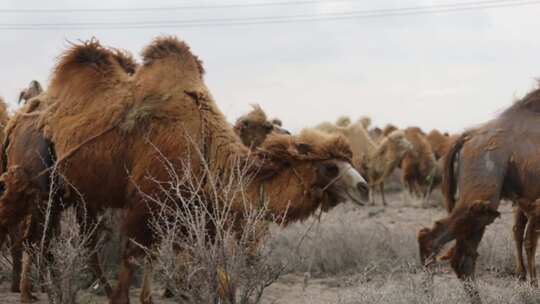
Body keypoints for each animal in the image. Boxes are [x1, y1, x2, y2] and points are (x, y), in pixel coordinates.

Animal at [0, 36, 370, 302]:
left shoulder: (190, 211)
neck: (205, 147)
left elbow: (186, 263)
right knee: (31, 238)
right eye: (330, 167)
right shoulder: (145, 204)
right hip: (38, 185)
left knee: (48, 241)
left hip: (67, 194)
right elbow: (135, 263)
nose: (363, 188)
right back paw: (30, 293)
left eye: (349, 162)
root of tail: (22, 119)